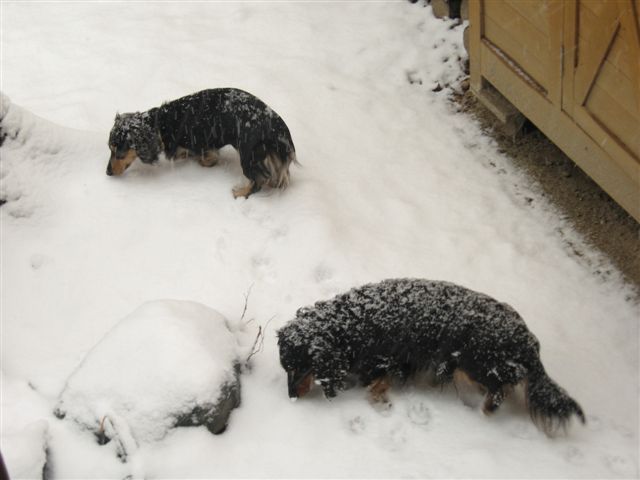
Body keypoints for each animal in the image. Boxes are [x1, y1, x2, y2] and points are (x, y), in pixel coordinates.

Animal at [106, 87, 296, 198]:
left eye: (118, 151)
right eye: (109, 148)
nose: (107, 172)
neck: (162, 124)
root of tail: (276, 125)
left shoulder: (200, 143)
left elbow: (207, 158)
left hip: (248, 156)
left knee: (260, 180)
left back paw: (242, 192)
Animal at [278, 278, 588, 436]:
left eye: (299, 368)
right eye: (285, 369)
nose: (291, 397)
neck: (353, 321)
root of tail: (528, 343)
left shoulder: (393, 358)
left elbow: (379, 383)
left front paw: (381, 401)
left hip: (474, 364)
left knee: (497, 393)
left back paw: (482, 411)